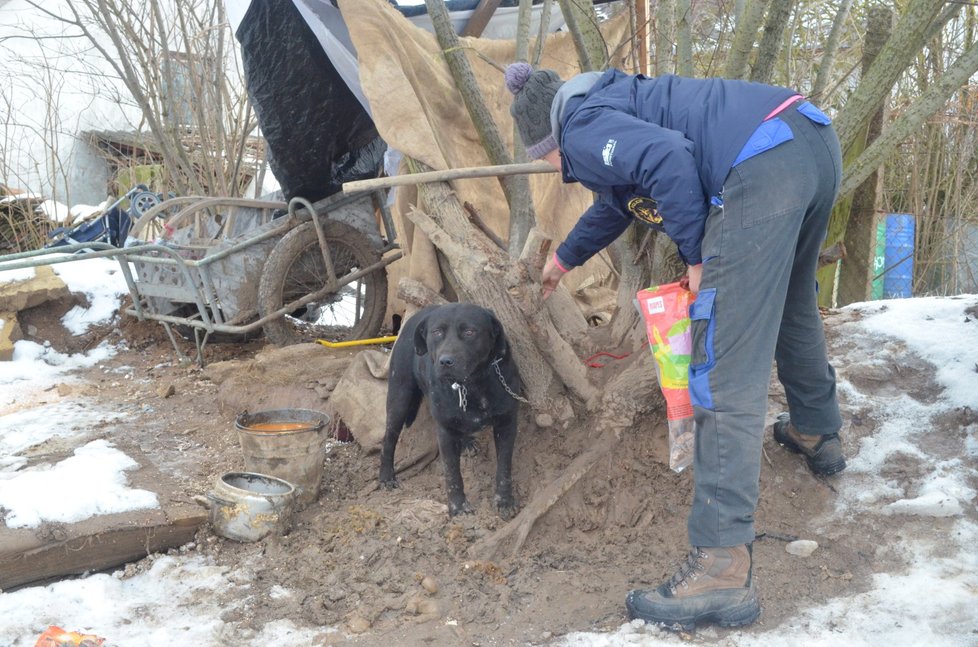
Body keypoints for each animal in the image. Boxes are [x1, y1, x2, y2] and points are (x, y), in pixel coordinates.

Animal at [378, 304, 524, 520]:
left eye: (470, 332)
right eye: (437, 332)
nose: (446, 361)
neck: (472, 385)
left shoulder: (506, 423)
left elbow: (504, 467)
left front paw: (504, 501)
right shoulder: (445, 431)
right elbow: (452, 472)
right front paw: (458, 507)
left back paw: (466, 441)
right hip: (399, 398)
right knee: (389, 439)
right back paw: (386, 476)